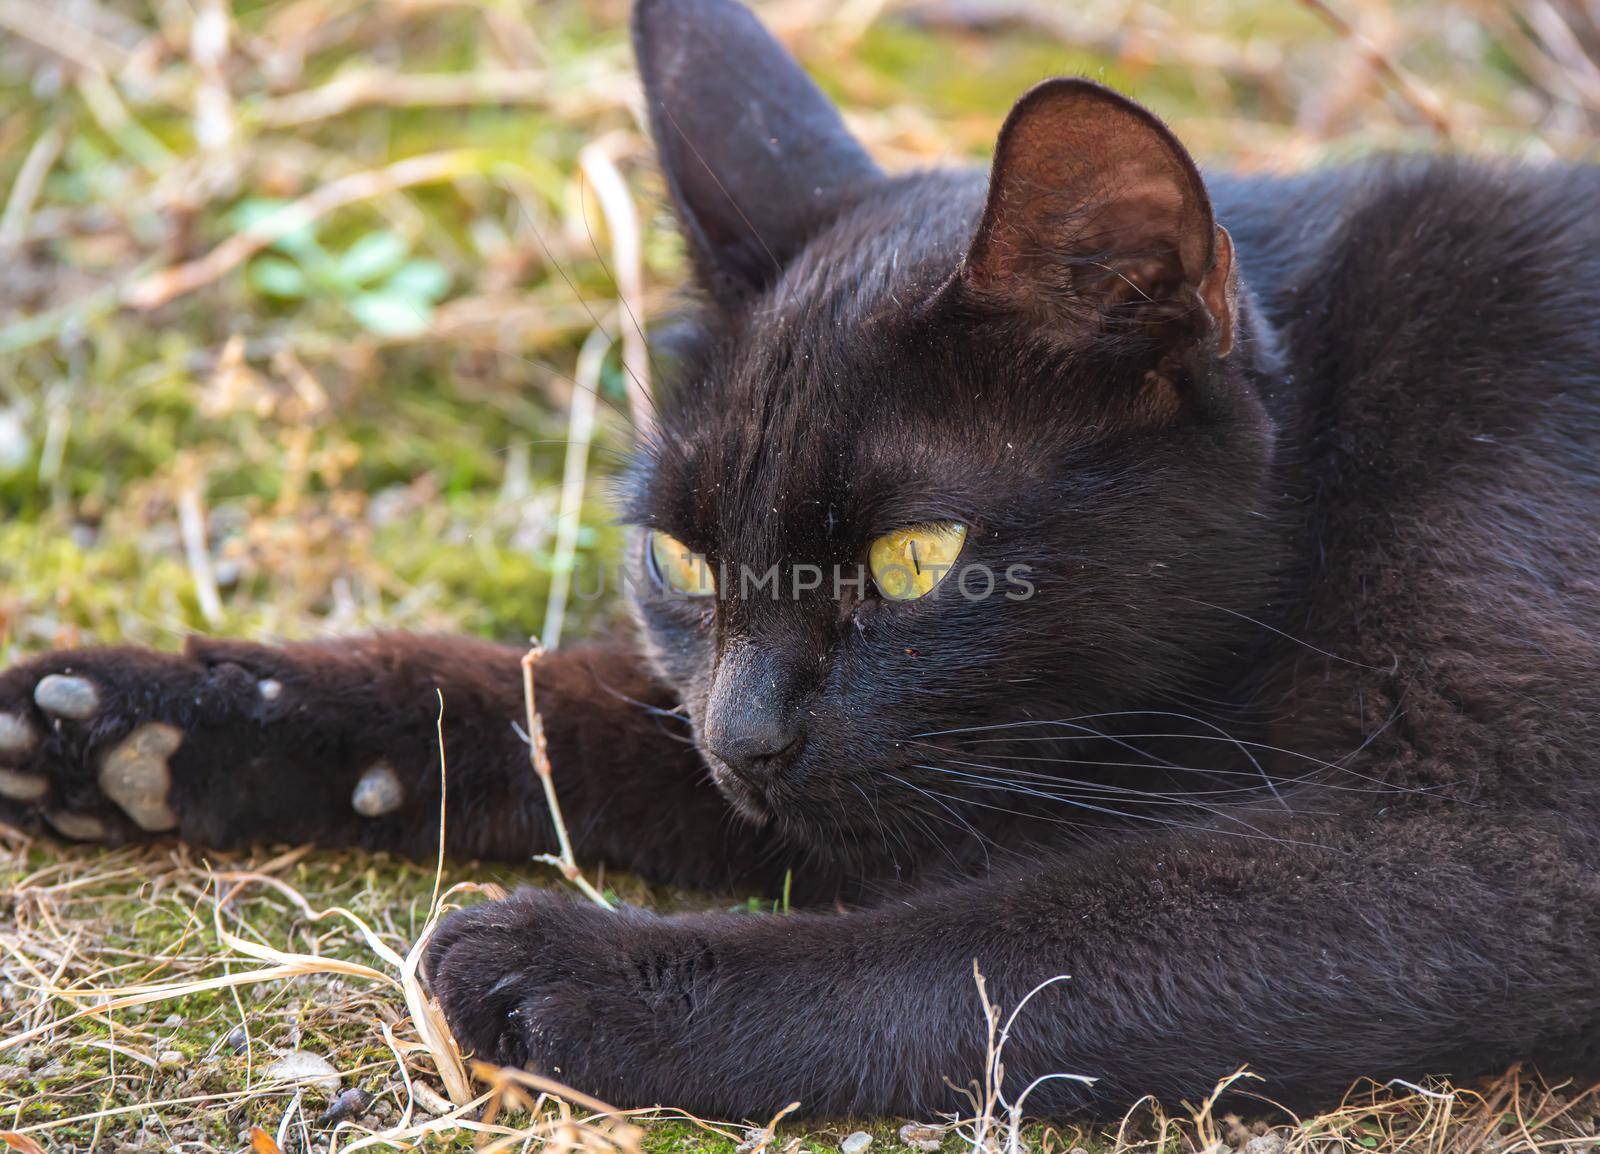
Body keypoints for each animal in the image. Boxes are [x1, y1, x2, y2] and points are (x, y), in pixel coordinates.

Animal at [3, 0, 1600, 1120]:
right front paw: (152, 715)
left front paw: (572, 968)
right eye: (681, 557)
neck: (1341, 449)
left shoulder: (1505, 832)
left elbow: (999, 947)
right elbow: (537, 697)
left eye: (913, 559)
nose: (743, 735)